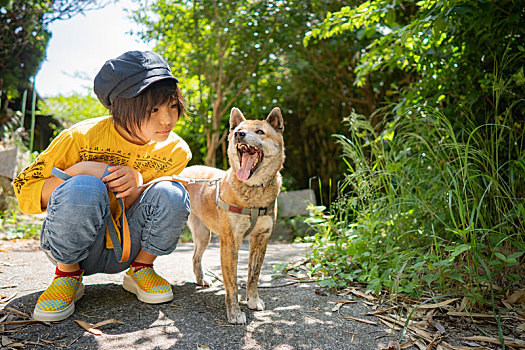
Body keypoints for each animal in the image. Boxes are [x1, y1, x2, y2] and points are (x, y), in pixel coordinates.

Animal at [179, 107, 284, 326]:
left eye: (260, 132)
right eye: (238, 130)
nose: (239, 135)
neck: (253, 191)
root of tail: (185, 171)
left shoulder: (261, 239)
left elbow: (253, 275)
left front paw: (252, 300)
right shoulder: (230, 241)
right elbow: (232, 283)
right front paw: (234, 312)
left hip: (203, 235)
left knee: (195, 256)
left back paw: (201, 279)